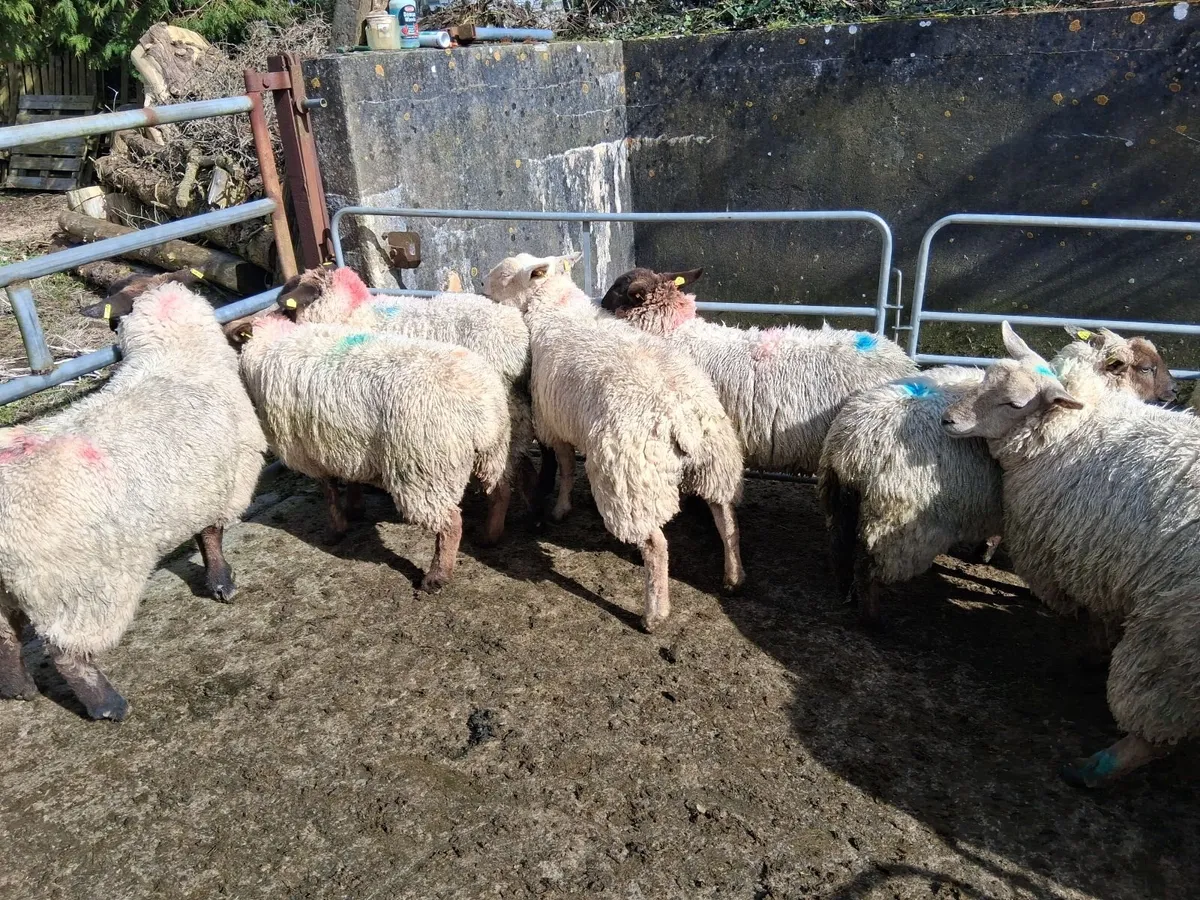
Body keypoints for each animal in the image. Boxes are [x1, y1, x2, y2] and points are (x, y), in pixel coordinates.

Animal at [0, 281, 267, 721]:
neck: (177, 355)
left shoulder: (202, 487)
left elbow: (204, 536)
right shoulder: (226, 483)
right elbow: (211, 536)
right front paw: (222, 582)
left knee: (4, 637)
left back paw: (17, 689)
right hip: (75, 586)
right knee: (66, 653)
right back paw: (107, 705)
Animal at [231, 309, 511, 591]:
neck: (269, 343)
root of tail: (480, 403)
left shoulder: (310, 451)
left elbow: (329, 492)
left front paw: (336, 530)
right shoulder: (342, 445)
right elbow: (349, 479)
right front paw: (355, 509)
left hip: (425, 471)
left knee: (451, 523)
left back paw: (436, 576)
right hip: (493, 451)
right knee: (500, 492)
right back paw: (490, 537)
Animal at [483, 253, 745, 633]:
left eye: (504, 277)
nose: (481, 287)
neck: (558, 308)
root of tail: (681, 416)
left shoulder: (554, 423)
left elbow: (565, 467)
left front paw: (561, 509)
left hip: (632, 481)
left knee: (656, 544)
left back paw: (654, 614)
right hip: (716, 464)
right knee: (726, 519)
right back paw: (734, 577)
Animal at [819, 326, 1179, 625]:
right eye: (1146, 368)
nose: (1175, 391)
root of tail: (853, 445)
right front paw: (988, 554)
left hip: (842, 499)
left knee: (839, 547)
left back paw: (844, 595)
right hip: (897, 517)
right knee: (869, 568)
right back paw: (873, 620)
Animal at [941, 321, 1200, 788]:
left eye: (1014, 403)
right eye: (984, 379)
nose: (948, 420)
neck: (1073, 427)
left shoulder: (1082, 561)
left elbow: (1090, 617)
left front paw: (1091, 655)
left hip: (1173, 633)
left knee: (1157, 721)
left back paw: (1096, 768)